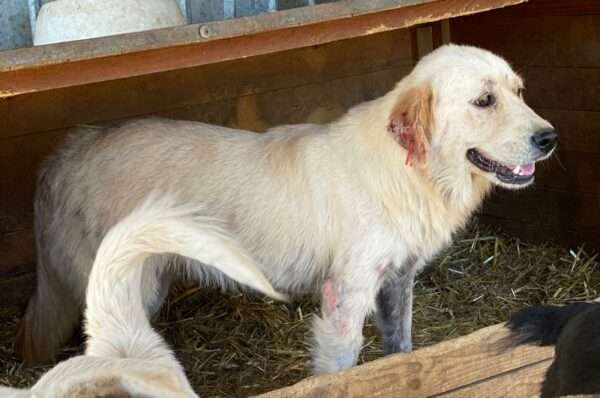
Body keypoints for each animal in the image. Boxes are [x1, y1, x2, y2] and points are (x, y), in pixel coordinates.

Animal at [15, 43, 556, 374]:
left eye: (519, 92)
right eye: (483, 100)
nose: (549, 137)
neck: (409, 172)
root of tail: (69, 151)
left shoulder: (397, 280)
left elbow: (399, 346)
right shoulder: (345, 296)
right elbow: (340, 367)